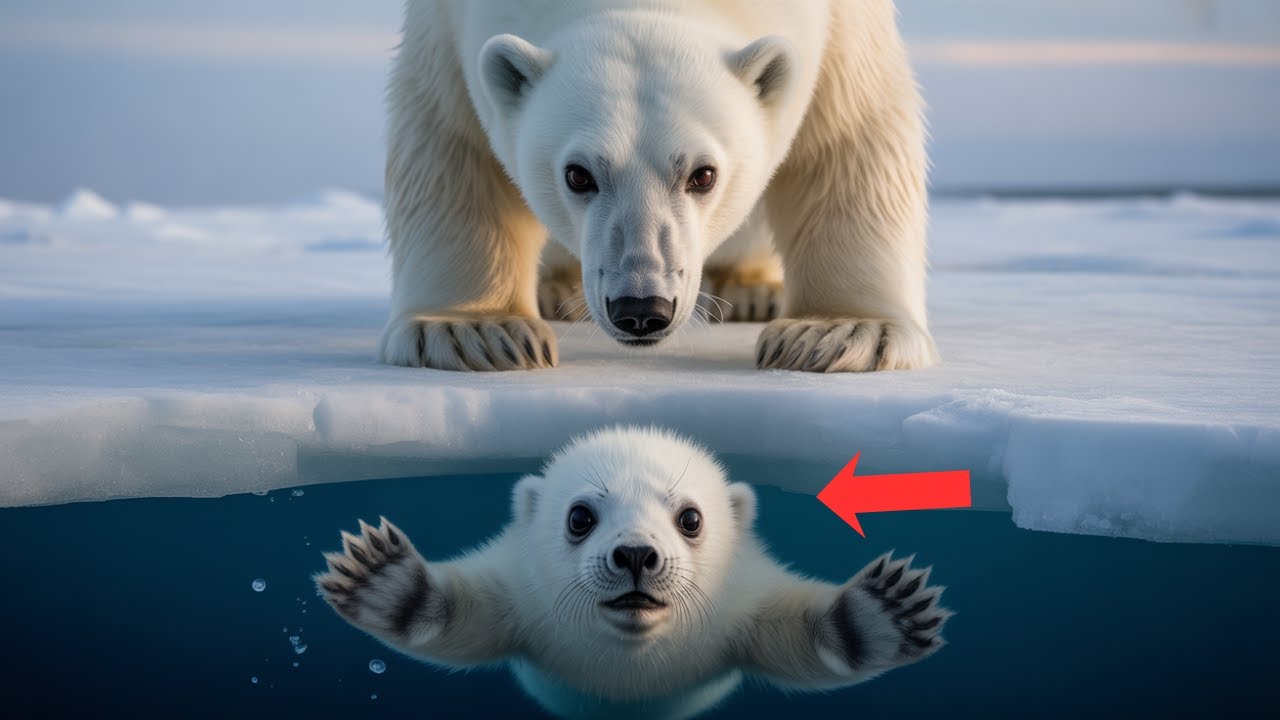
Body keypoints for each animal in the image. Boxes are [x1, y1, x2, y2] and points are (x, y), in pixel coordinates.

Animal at [316, 426, 951, 719]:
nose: (637, 556)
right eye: (579, 515)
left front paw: (885, 611)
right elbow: (464, 617)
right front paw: (384, 577)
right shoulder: (525, 594)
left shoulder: (736, 604)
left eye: (691, 517)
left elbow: (795, 635)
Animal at [378, 0, 938, 373]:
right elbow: (449, 142)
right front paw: (474, 330)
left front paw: (840, 330)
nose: (641, 310)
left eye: (703, 174)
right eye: (578, 174)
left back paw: (752, 291)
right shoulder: (444, 25)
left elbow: (851, 132)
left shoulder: (846, 21)